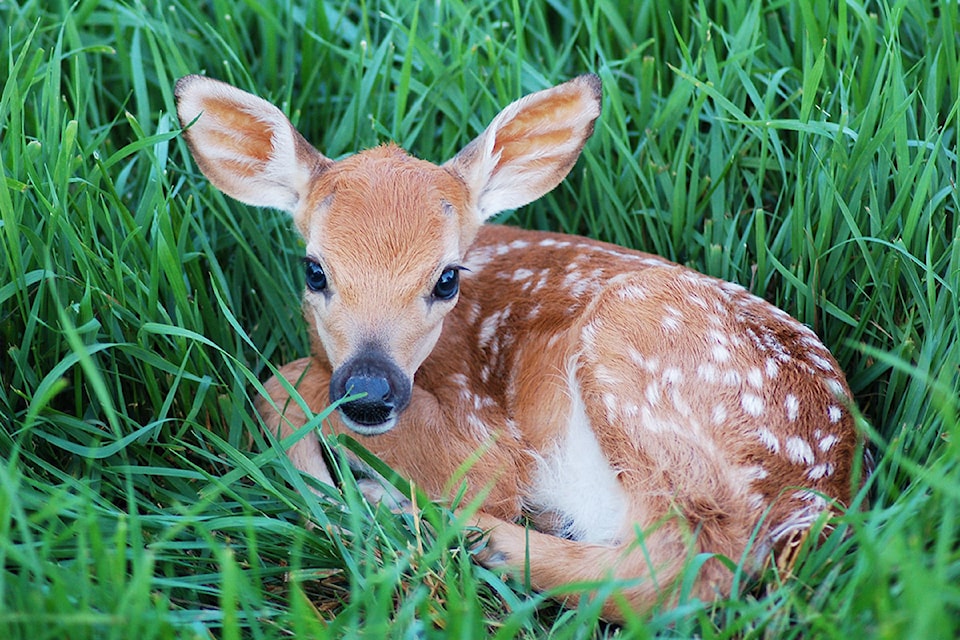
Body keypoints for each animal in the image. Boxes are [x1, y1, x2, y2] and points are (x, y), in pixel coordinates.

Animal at [174, 73, 863, 620]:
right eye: (314, 270)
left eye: (447, 278)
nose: (368, 393)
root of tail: (819, 496)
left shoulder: (487, 438)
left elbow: (286, 379)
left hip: (638, 352)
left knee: (683, 567)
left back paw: (451, 529)